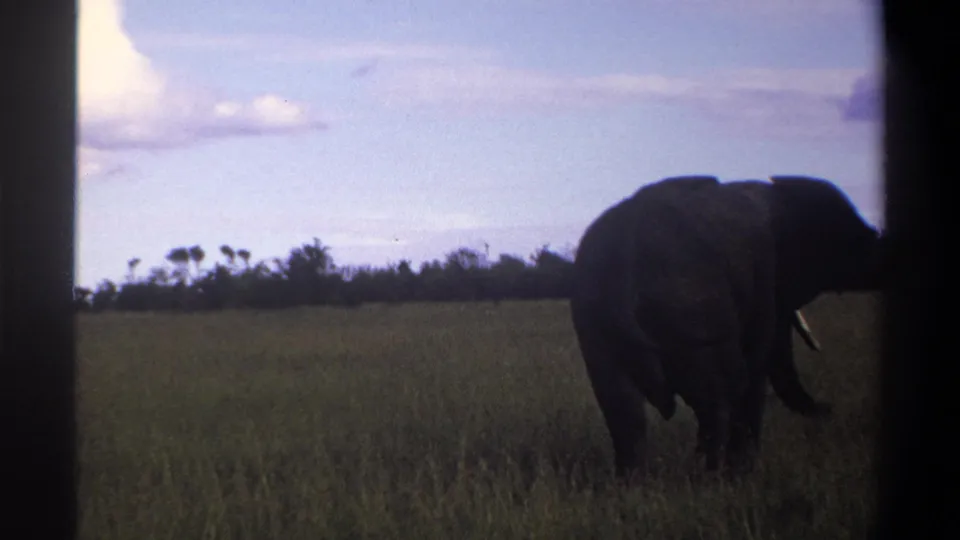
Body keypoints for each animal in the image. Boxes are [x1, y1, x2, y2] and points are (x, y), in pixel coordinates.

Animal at [569, 174, 884, 479]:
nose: (830, 409)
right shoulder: (764, 278)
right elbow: (758, 363)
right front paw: (744, 472)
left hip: (596, 328)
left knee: (622, 409)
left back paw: (633, 484)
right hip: (692, 316)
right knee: (718, 400)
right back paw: (711, 478)